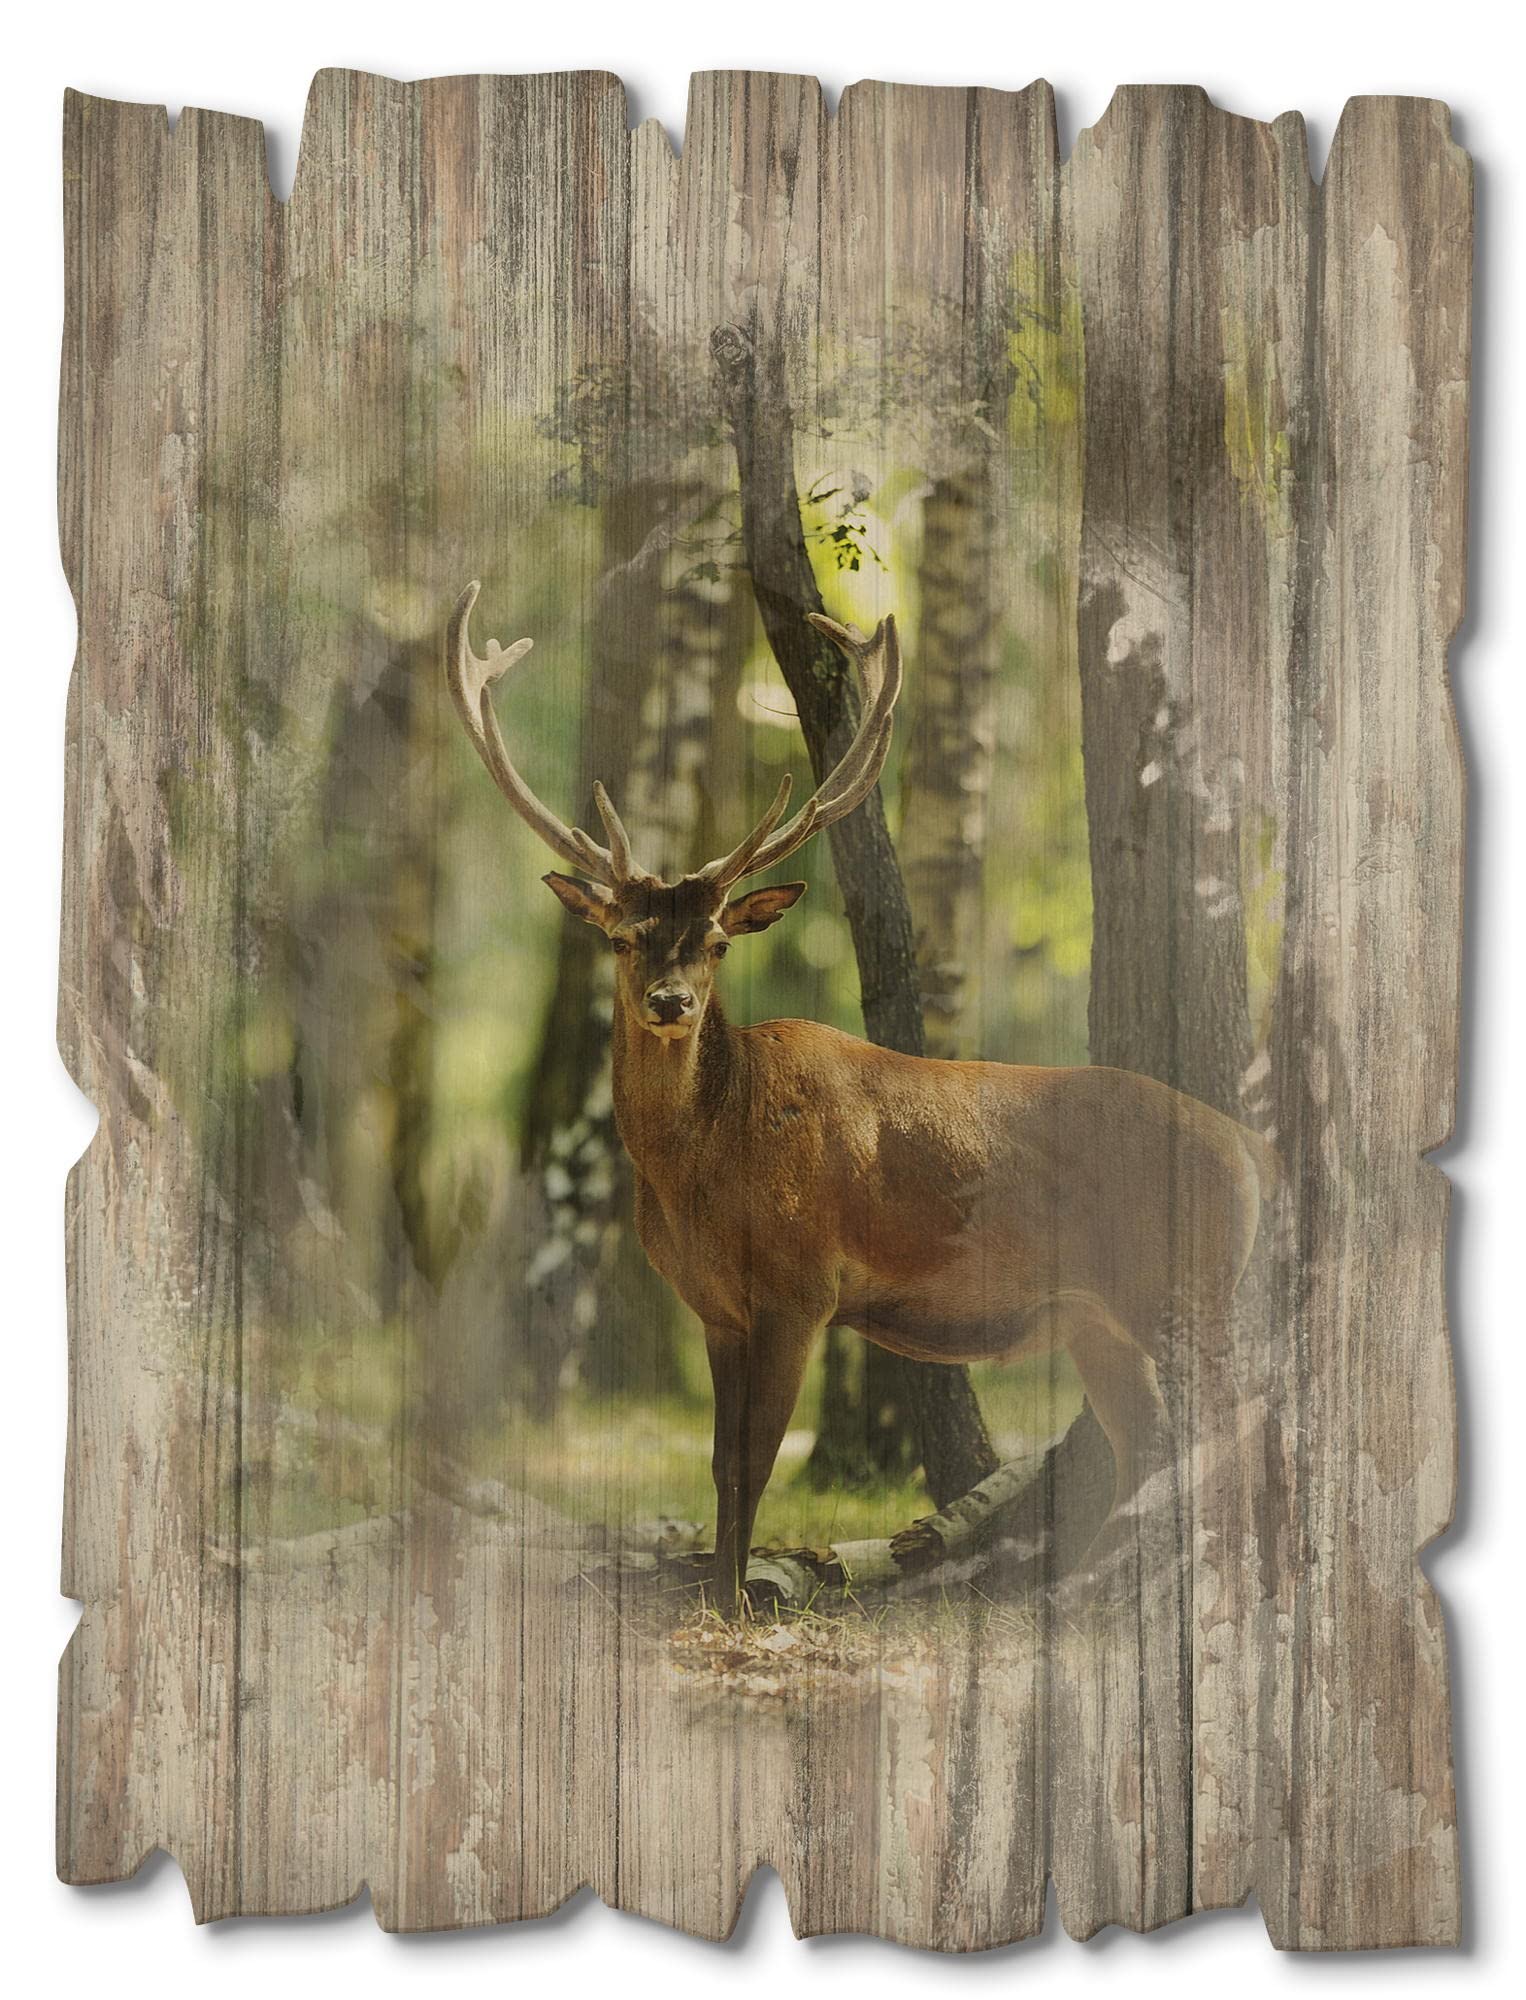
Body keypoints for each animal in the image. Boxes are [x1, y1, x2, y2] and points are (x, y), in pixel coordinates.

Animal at [447, 580, 1276, 1615]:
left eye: (717, 941)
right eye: (623, 936)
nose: (671, 1003)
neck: (703, 1170)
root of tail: (1248, 1150)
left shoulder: (801, 1285)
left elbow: (755, 1461)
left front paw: (737, 1607)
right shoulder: (716, 1308)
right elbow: (720, 1468)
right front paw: (720, 1591)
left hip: (1186, 1280)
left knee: (1233, 1428)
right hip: (1101, 1317)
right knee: (1146, 1443)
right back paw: (1091, 1601)